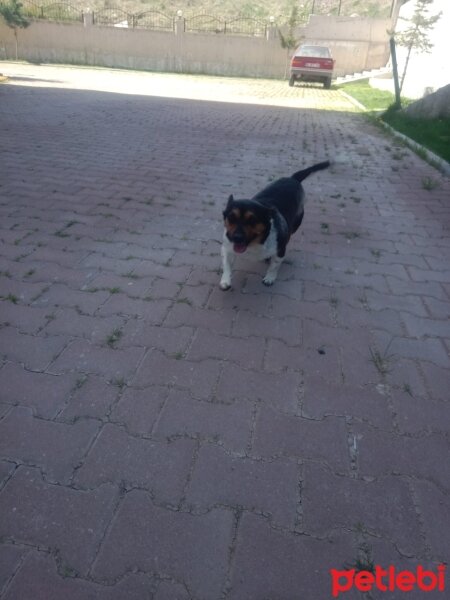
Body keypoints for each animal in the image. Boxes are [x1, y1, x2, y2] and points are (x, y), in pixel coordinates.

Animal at [221, 159, 330, 290]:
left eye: (252, 221)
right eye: (231, 218)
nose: (237, 237)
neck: (254, 244)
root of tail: (293, 178)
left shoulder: (280, 250)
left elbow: (274, 266)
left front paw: (269, 278)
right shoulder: (227, 247)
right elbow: (227, 264)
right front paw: (225, 280)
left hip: (296, 224)